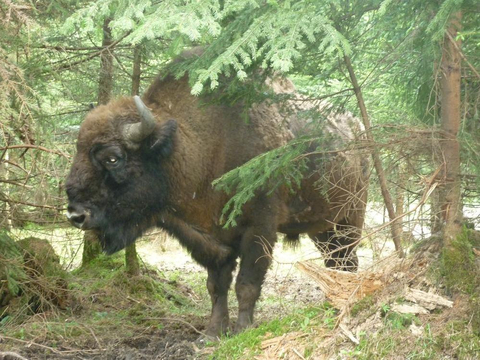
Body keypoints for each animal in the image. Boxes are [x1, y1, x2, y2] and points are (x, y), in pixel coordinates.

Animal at [65, 56, 370, 338]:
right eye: (78, 151)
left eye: (112, 158)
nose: (75, 215)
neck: (195, 144)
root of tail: (359, 130)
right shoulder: (209, 237)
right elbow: (216, 285)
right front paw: (212, 333)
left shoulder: (259, 228)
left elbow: (246, 283)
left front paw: (242, 330)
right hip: (323, 228)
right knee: (336, 263)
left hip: (350, 218)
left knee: (347, 262)